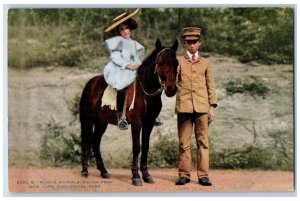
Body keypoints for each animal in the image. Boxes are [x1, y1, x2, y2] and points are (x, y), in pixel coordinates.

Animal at [79, 38, 178, 186]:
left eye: (176, 63)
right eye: (160, 63)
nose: (171, 89)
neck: (145, 93)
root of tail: (91, 83)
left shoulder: (149, 124)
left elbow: (146, 147)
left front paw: (146, 175)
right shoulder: (137, 124)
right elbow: (137, 147)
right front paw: (136, 176)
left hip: (102, 122)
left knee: (96, 141)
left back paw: (104, 171)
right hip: (88, 120)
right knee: (86, 141)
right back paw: (85, 171)